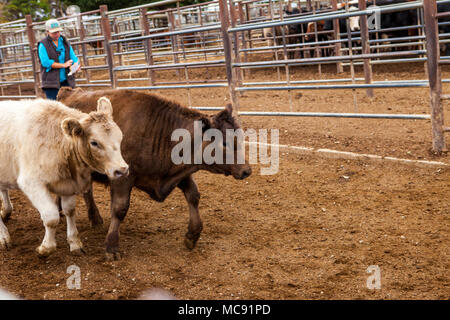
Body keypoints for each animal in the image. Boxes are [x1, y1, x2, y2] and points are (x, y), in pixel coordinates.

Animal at [0, 97, 128, 258]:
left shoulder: (68, 185)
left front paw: (74, 242)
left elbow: (70, 211)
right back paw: (4, 236)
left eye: (120, 137)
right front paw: (46, 247)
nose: (122, 170)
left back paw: (6, 211)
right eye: (94, 143)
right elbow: (51, 217)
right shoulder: (31, 183)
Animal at [56, 88, 251, 260]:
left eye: (241, 137)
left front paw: (192, 235)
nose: (246, 170)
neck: (158, 132)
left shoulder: (180, 172)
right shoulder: (122, 177)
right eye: (224, 142)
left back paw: (91, 218)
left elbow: (193, 196)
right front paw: (111, 247)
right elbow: (120, 209)